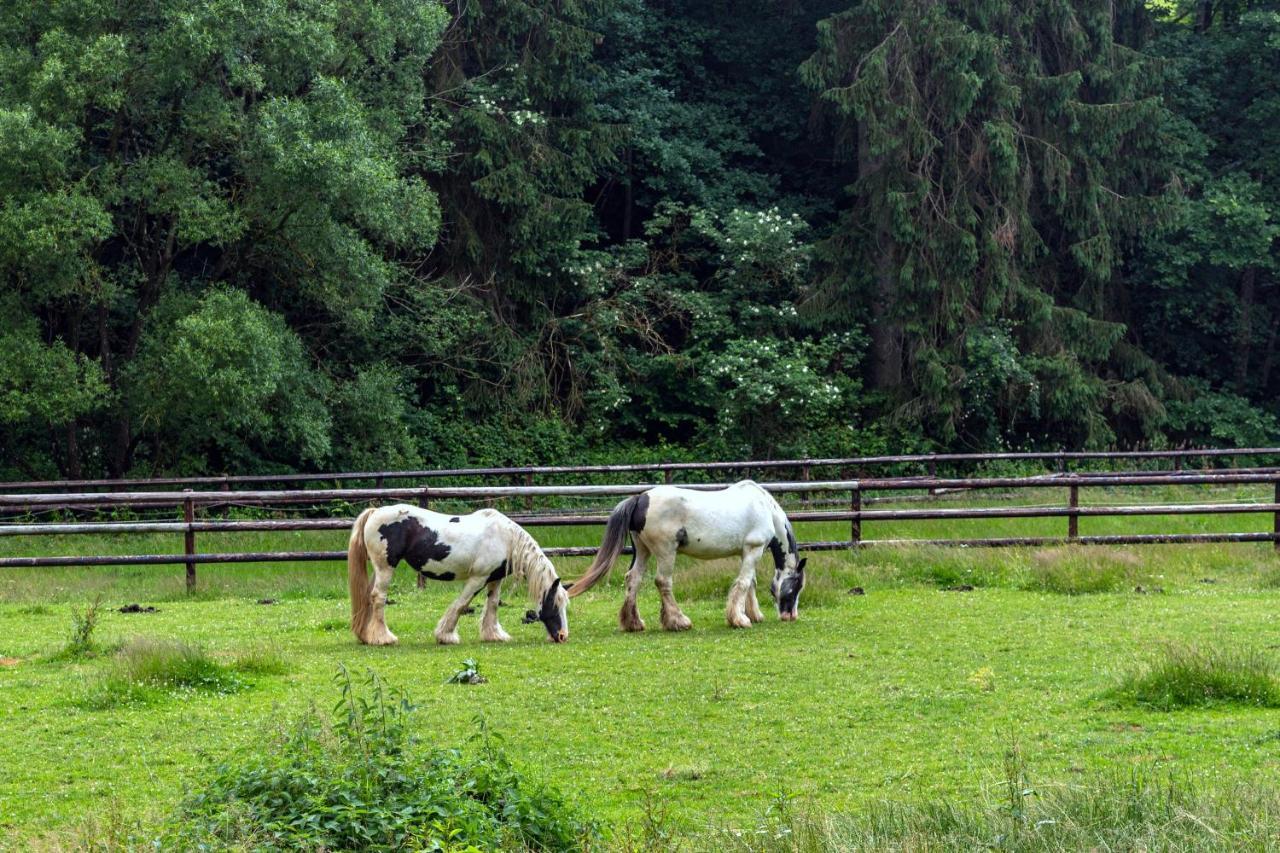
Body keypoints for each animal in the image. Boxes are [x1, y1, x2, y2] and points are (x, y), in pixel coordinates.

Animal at [350, 502, 570, 640]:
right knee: (378, 598)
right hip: (386, 568)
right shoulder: (478, 578)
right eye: (554, 603)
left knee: (369, 597)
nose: (562, 636)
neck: (505, 538)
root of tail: (375, 512)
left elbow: (492, 605)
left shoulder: (494, 579)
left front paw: (493, 635)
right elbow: (461, 604)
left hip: (379, 569)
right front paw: (445, 635)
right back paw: (383, 638)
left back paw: (366, 636)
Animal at [573, 481, 808, 627]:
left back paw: (634, 623)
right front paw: (739, 620)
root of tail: (641, 499)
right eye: (796, 586)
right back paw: (678, 621)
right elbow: (743, 583)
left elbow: (750, 582)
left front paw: (753, 615)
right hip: (666, 552)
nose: (790, 616)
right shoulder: (754, 548)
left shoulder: (746, 552)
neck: (765, 508)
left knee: (633, 579)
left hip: (643, 551)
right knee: (663, 582)